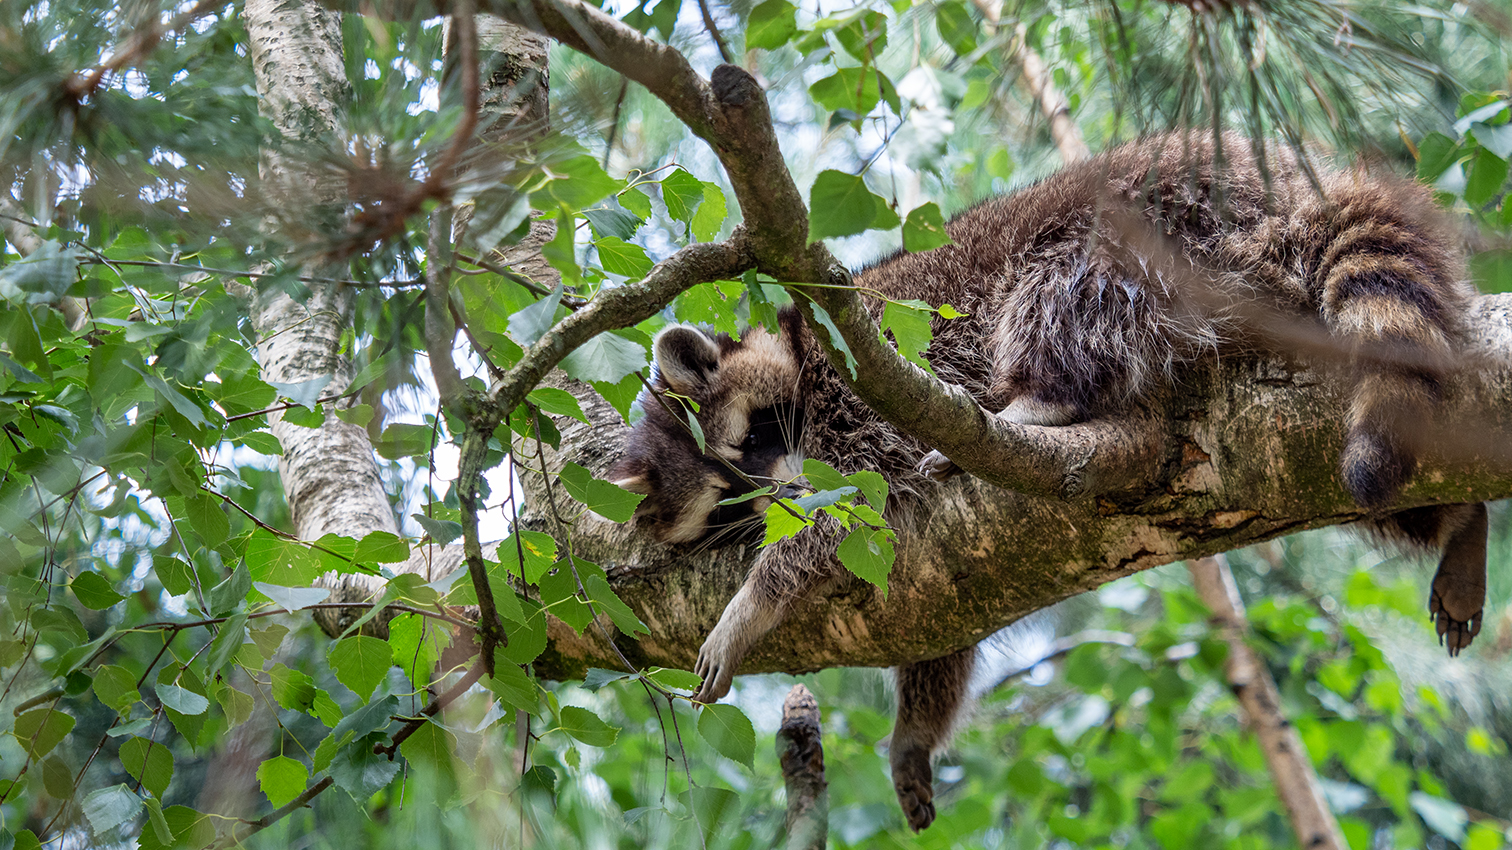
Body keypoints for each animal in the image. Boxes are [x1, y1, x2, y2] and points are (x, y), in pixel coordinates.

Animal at [607, 132, 1481, 828]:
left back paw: (1039, 397)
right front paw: (914, 731)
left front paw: (751, 602)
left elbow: (845, 514)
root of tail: (1275, 177)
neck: (793, 350)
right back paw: (1459, 523)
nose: (782, 496)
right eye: (727, 500)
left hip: (1148, 232)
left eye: (753, 440)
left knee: (1060, 290)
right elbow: (939, 634)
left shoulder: (861, 390)